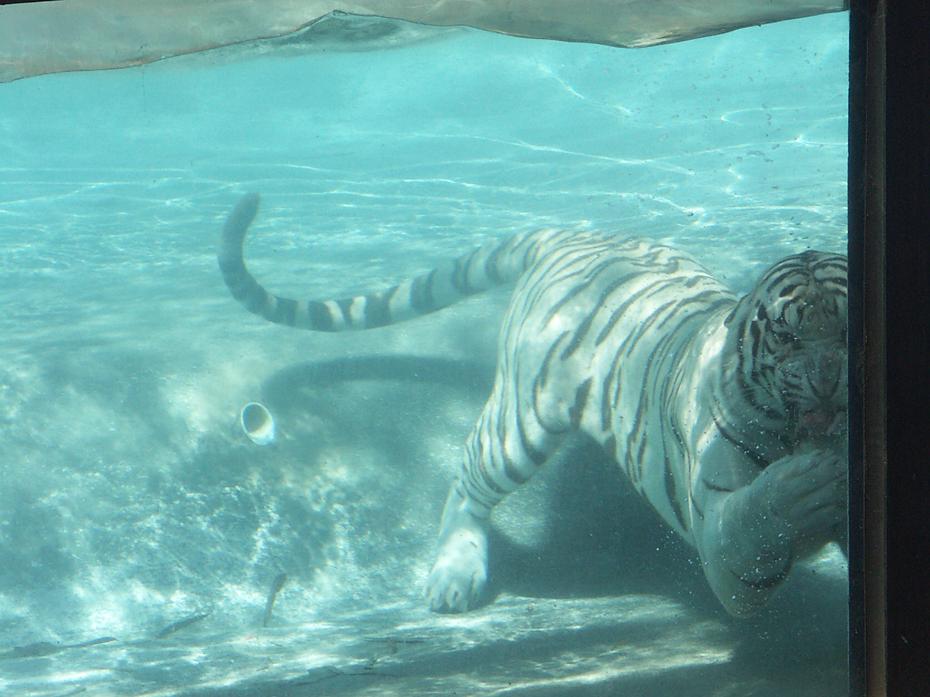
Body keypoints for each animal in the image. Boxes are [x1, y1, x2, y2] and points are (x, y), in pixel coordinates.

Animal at [218, 193, 848, 617]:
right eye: (789, 337)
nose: (828, 383)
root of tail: (570, 236)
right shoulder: (720, 547)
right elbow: (753, 519)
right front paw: (810, 482)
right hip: (520, 421)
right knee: (465, 482)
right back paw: (454, 575)